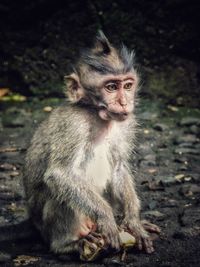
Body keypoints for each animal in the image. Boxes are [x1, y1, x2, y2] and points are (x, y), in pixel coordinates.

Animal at [23, 30, 161, 258]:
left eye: (128, 85)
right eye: (111, 87)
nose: (124, 102)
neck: (97, 116)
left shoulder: (126, 124)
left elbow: (118, 167)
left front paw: (134, 222)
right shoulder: (73, 125)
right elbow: (60, 174)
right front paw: (106, 217)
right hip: (50, 227)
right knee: (60, 193)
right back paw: (69, 244)